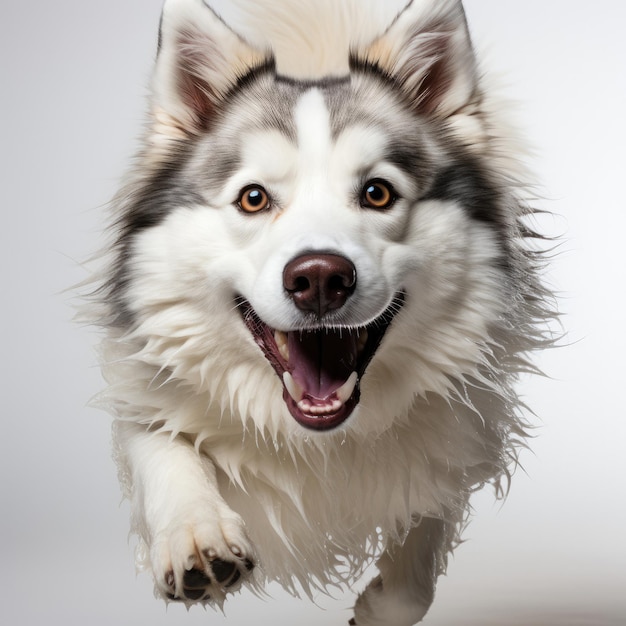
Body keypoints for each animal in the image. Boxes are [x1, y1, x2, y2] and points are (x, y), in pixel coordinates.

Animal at [89, 2, 552, 620]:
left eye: (378, 192)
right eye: (253, 198)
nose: (319, 280)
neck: (320, 442)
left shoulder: (461, 435)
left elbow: (418, 558)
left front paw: (379, 607)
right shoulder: (142, 381)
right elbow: (163, 446)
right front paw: (196, 535)